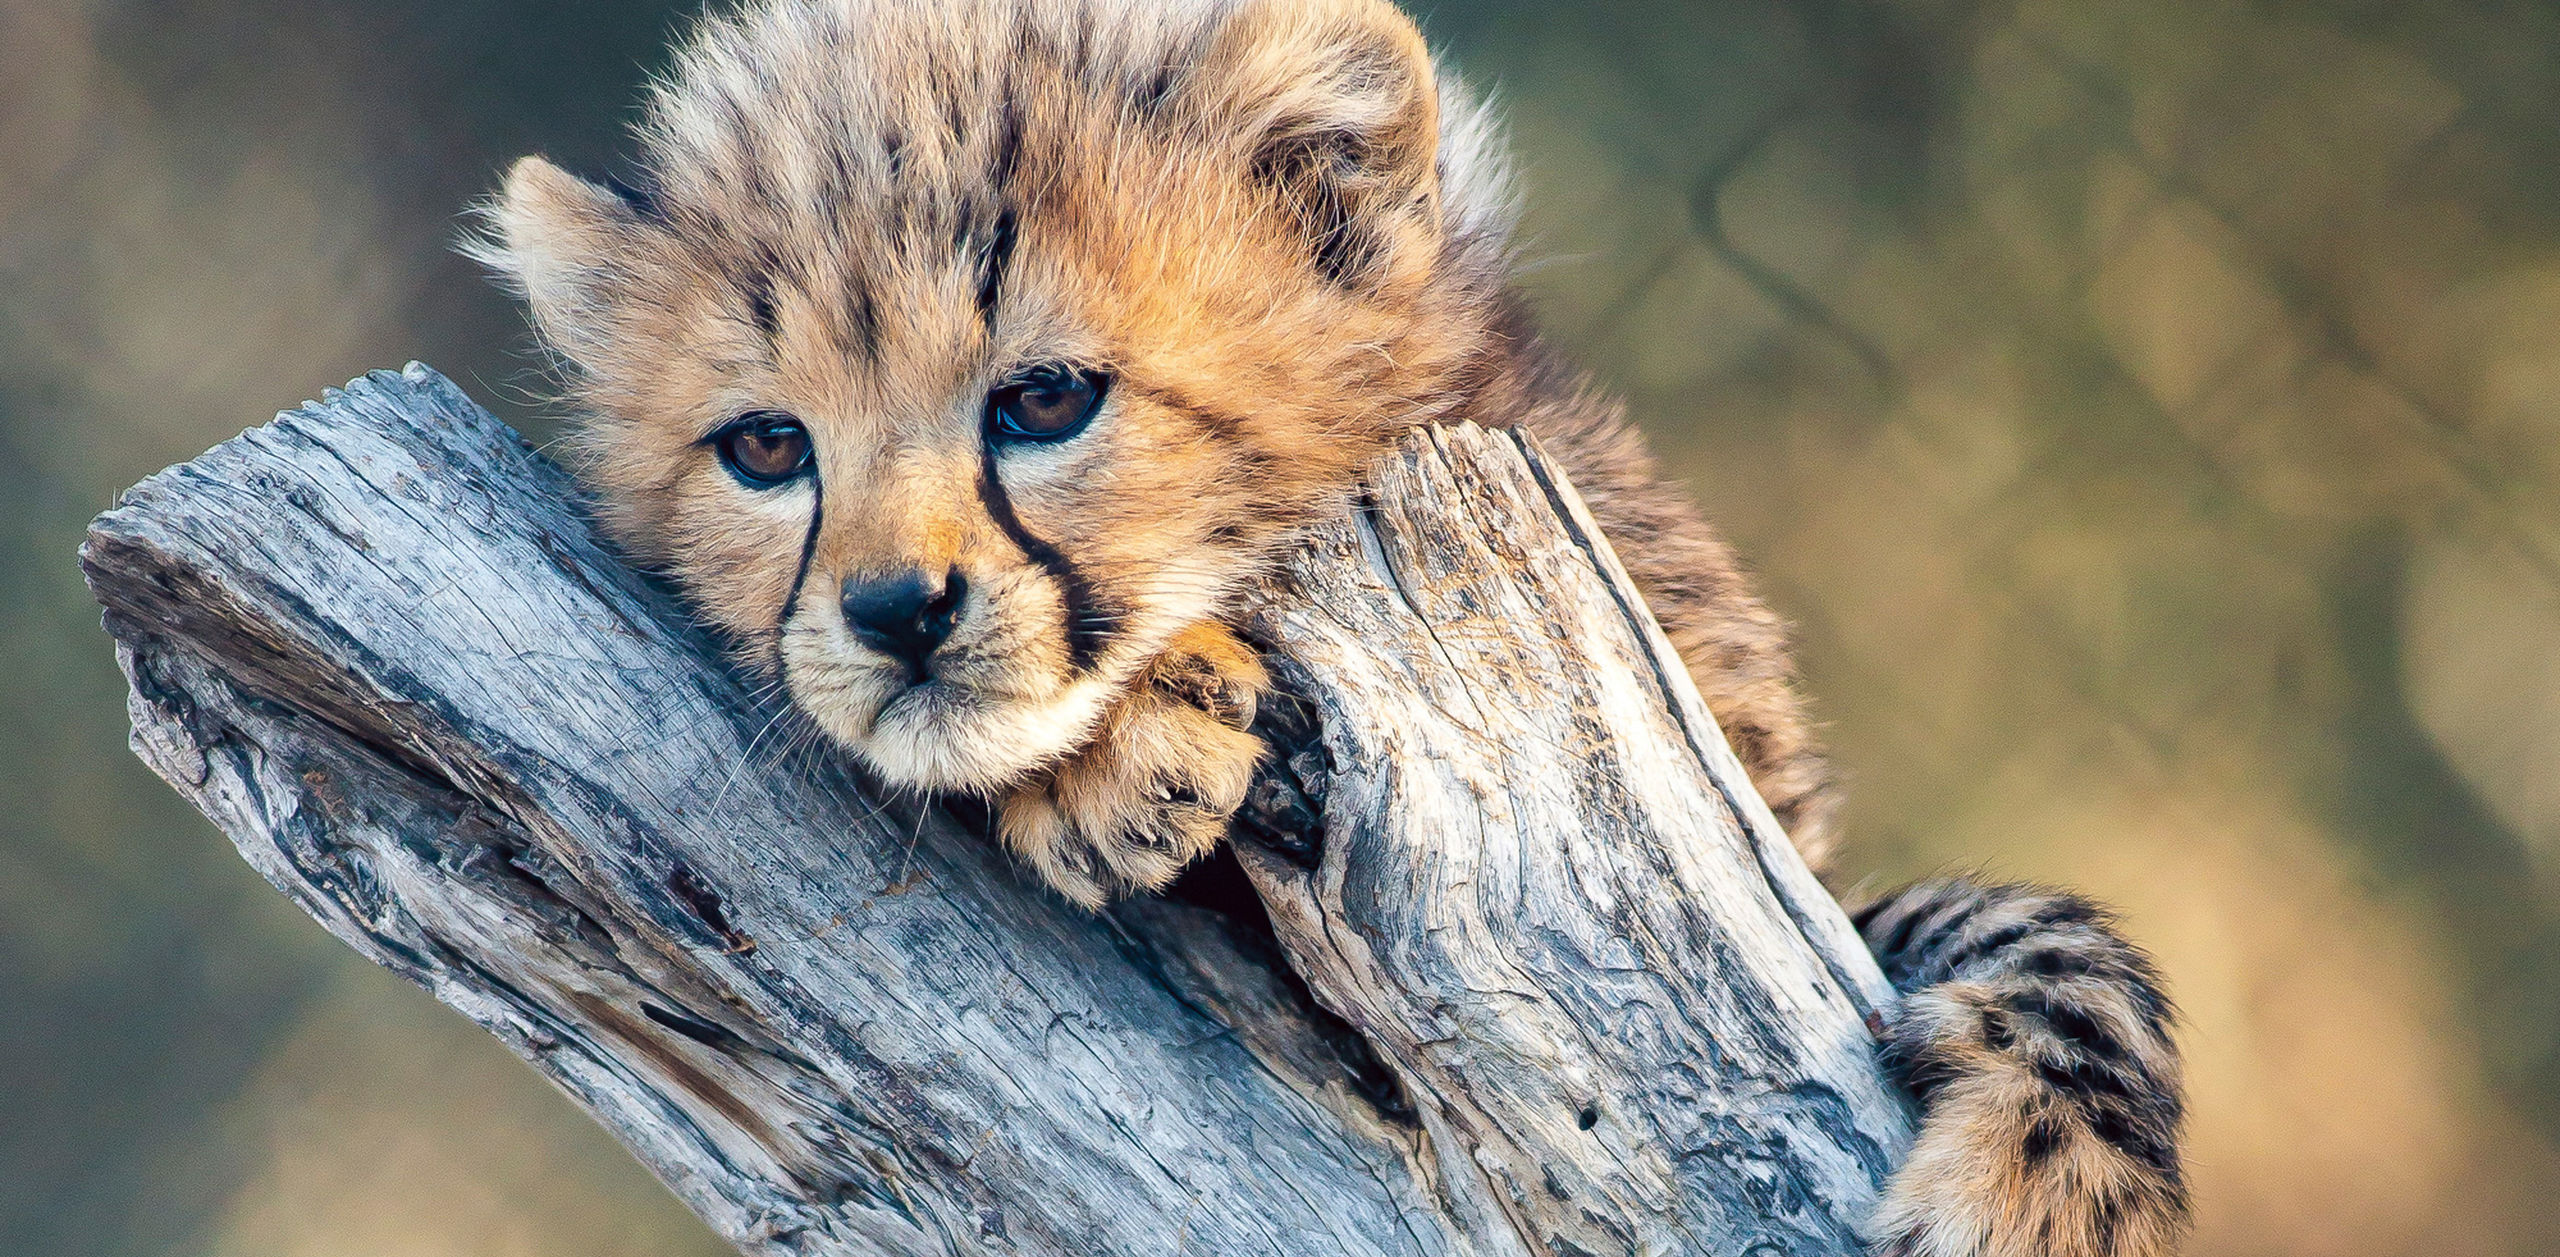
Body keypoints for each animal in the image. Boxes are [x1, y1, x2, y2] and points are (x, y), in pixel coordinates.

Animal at [469, 1, 2189, 1252]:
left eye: (1045, 398)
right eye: (768, 448)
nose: (897, 611)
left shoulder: (1768, 853)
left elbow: (2049, 938)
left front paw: (2054, 1184)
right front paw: (1117, 750)